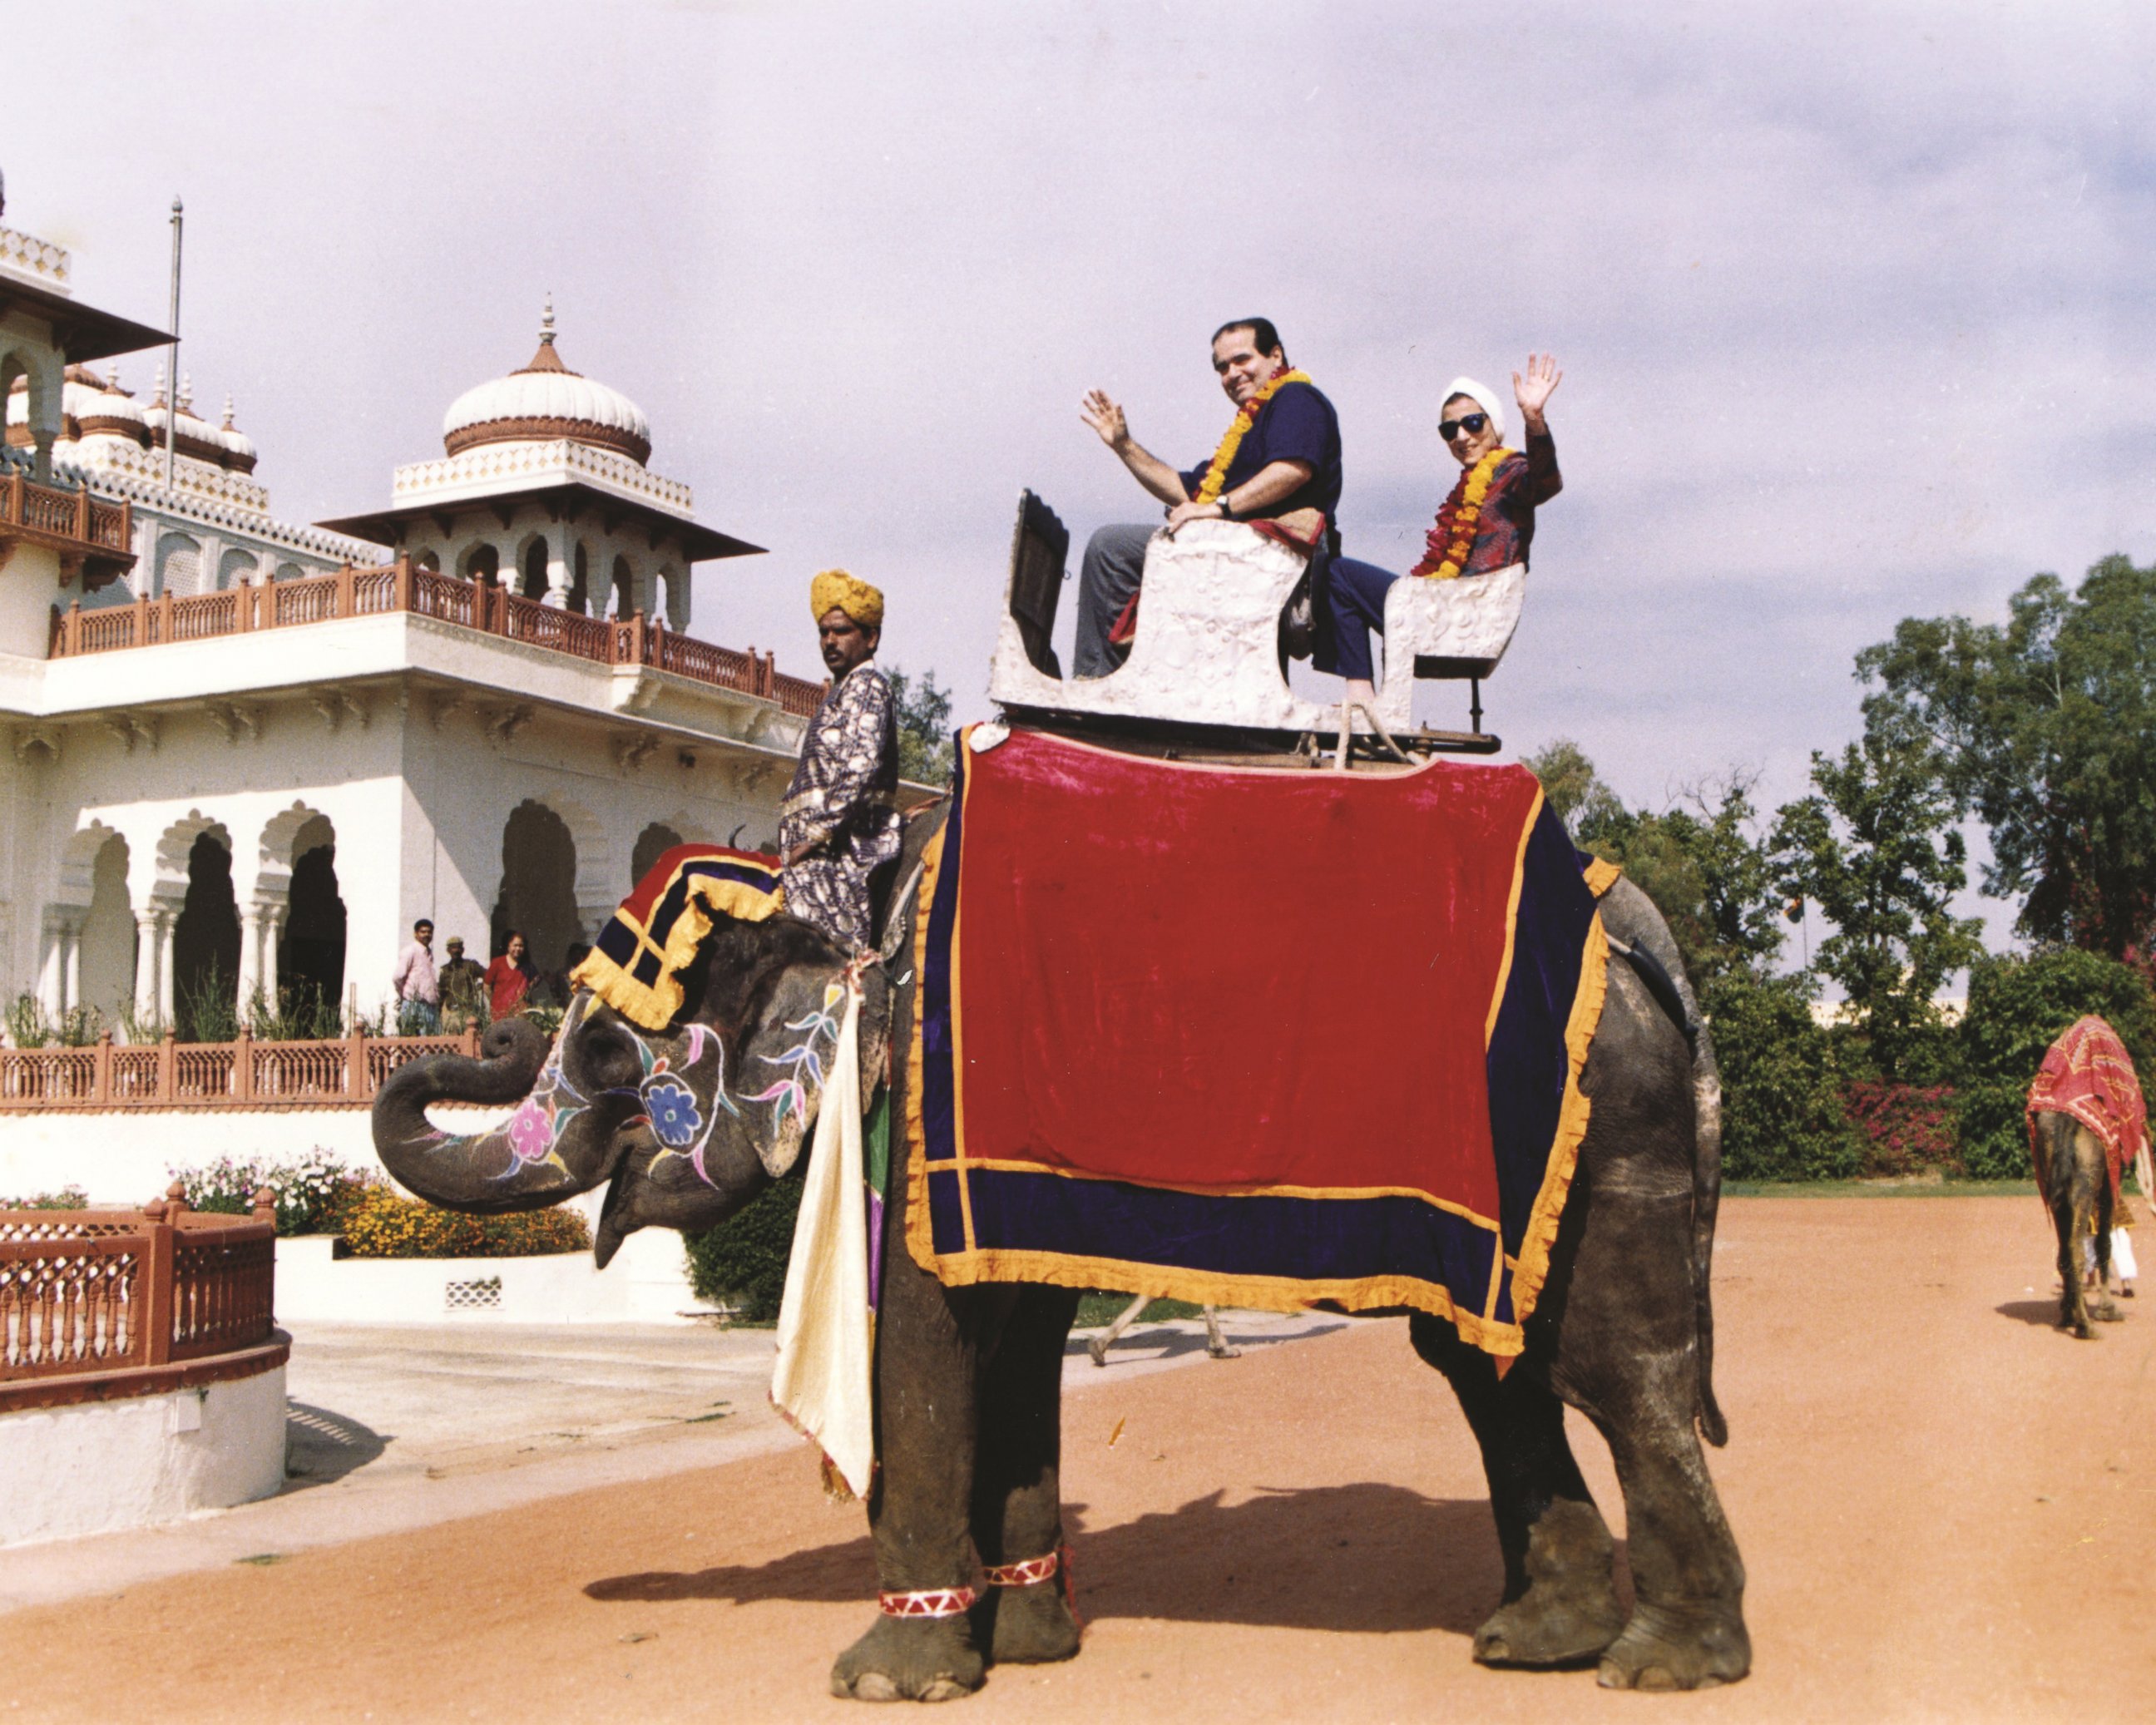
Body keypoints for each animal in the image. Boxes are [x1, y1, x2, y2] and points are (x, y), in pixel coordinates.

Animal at [370, 810, 1750, 1698]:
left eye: (610, 1052)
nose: (488, 1018)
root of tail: (1645, 939)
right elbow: (1015, 1347)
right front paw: (1030, 1644)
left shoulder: (919, 1109)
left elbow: (920, 1352)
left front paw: (890, 1682)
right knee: (1491, 1366)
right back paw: (1536, 1639)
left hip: (1599, 1133)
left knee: (1613, 1369)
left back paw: (1664, 1664)